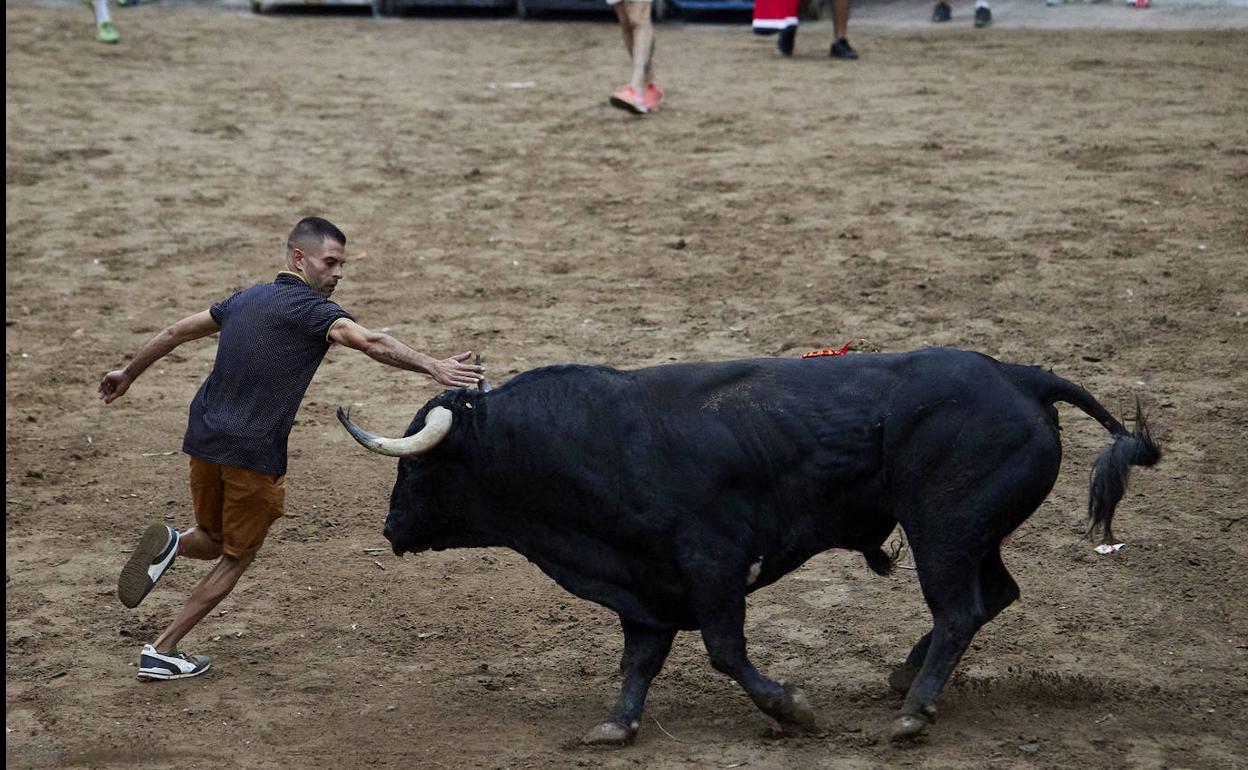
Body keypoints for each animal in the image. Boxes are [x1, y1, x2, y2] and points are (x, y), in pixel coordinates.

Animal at [337, 347, 1160, 745]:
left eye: (415, 465)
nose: (390, 529)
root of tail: (1018, 378)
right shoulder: (646, 584)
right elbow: (639, 658)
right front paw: (616, 726)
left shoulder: (713, 566)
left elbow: (725, 651)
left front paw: (791, 709)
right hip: (969, 532)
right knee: (995, 596)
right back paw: (905, 678)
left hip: (944, 529)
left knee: (960, 608)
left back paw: (912, 711)